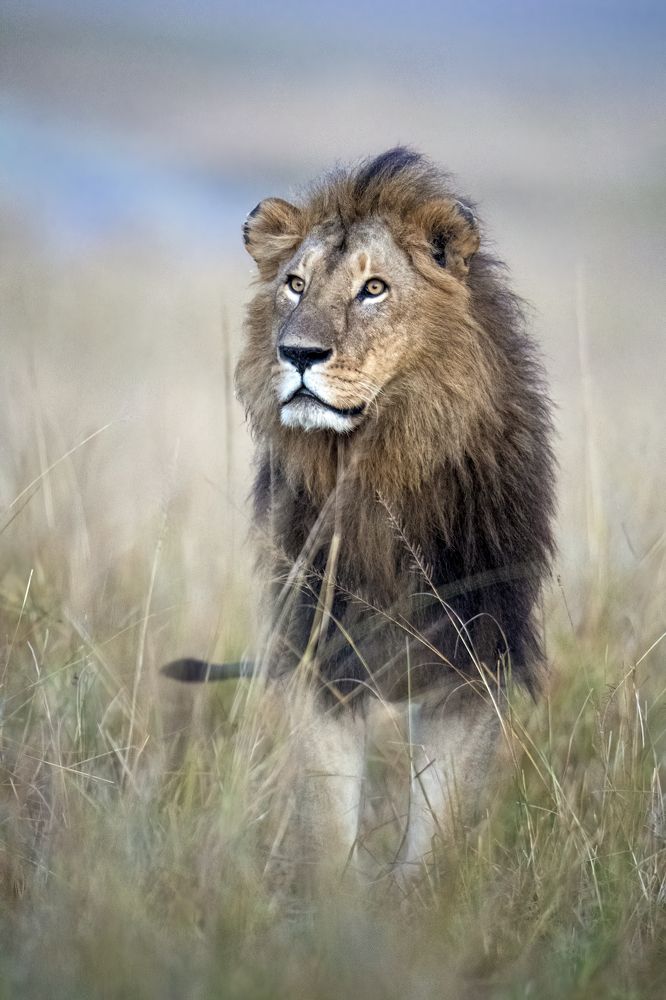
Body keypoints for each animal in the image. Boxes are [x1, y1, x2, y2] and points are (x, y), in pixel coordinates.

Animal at [165, 147, 556, 885]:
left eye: (373, 289)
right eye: (295, 284)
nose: (298, 354)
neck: (377, 468)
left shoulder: (473, 661)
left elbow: (434, 828)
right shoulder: (323, 654)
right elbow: (329, 821)